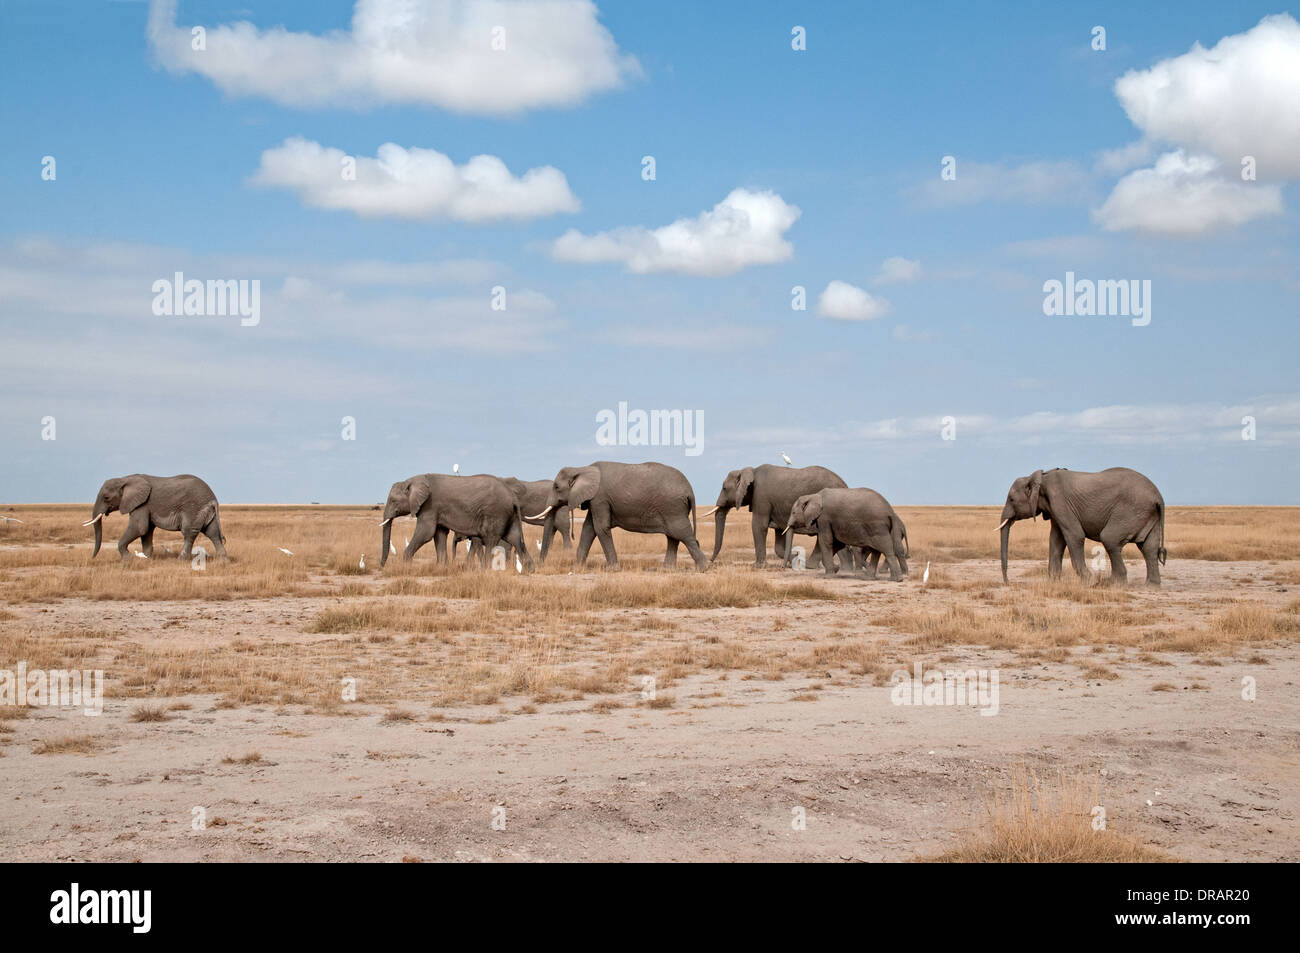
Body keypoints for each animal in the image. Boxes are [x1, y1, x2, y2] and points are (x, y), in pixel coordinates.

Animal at [85, 473, 227, 561]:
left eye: (106, 498)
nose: (92, 558)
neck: (125, 479)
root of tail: (213, 499)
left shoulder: (142, 504)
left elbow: (139, 527)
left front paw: (128, 559)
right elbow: (146, 531)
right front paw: (147, 558)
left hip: (193, 508)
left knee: (189, 533)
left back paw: (181, 560)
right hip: (205, 510)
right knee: (213, 533)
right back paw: (222, 561)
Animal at [379, 473, 533, 569]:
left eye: (393, 501)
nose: (381, 567)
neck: (414, 480)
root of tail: (513, 497)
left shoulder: (429, 506)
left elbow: (426, 533)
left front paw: (405, 564)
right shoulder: (436, 509)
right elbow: (439, 534)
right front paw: (442, 567)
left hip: (496, 513)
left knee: (491, 539)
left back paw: (485, 570)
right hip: (509, 515)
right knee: (515, 538)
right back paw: (530, 569)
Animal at [530, 460, 707, 569]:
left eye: (556, 487)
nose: (541, 564)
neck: (582, 468)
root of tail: (690, 490)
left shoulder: (600, 498)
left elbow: (600, 528)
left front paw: (612, 569)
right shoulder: (595, 500)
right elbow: (588, 529)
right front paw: (577, 567)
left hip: (673, 507)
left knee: (682, 533)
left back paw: (703, 568)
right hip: (672, 508)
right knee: (673, 536)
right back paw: (667, 569)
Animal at [707, 465, 857, 569]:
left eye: (724, 488)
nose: (710, 562)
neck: (750, 470)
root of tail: (845, 484)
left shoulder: (761, 497)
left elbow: (758, 526)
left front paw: (758, 566)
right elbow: (779, 538)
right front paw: (796, 557)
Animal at [993, 465, 1170, 582]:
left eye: (1011, 499)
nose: (1008, 582)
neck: (1041, 477)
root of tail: (1158, 497)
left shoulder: (1060, 501)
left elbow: (1074, 535)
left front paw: (1090, 582)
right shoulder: (1055, 508)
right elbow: (1056, 540)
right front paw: (1054, 582)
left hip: (1131, 511)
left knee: (1110, 539)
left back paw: (1113, 584)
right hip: (1147, 513)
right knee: (1148, 547)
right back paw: (1151, 586)